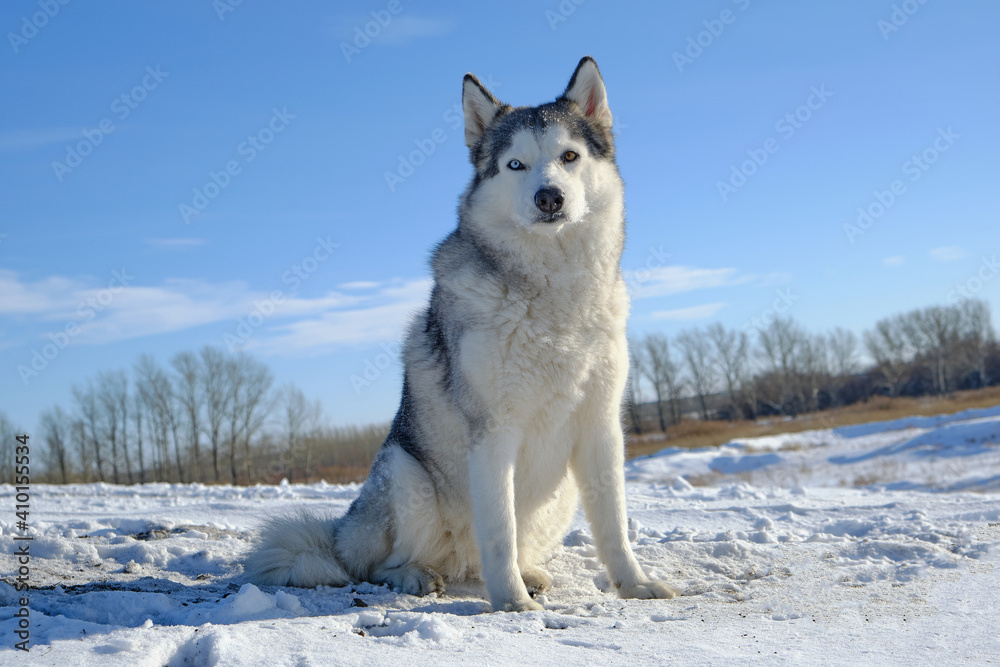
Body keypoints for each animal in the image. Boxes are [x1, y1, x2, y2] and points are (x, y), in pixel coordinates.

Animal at [246, 56, 676, 612]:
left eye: (569, 156)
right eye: (515, 165)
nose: (549, 197)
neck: (552, 294)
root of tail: (340, 536)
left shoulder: (601, 426)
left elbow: (614, 527)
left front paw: (634, 585)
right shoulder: (493, 431)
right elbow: (499, 530)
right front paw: (513, 604)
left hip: (558, 497)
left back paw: (528, 573)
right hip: (404, 474)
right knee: (378, 565)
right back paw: (415, 576)